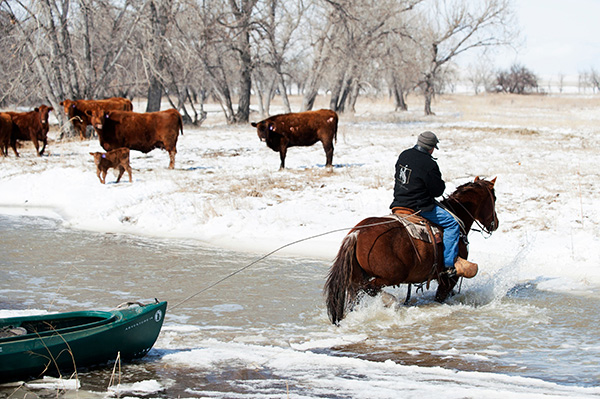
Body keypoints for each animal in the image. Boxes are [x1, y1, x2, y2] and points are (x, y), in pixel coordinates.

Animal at [326, 177, 500, 324]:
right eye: (494, 198)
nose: (495, 223)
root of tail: (356, 234)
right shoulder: (449, 279)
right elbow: (440, 296)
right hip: (392, 276)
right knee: (369, 288)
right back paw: (391, 301)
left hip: (358, 276)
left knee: (358, 293)